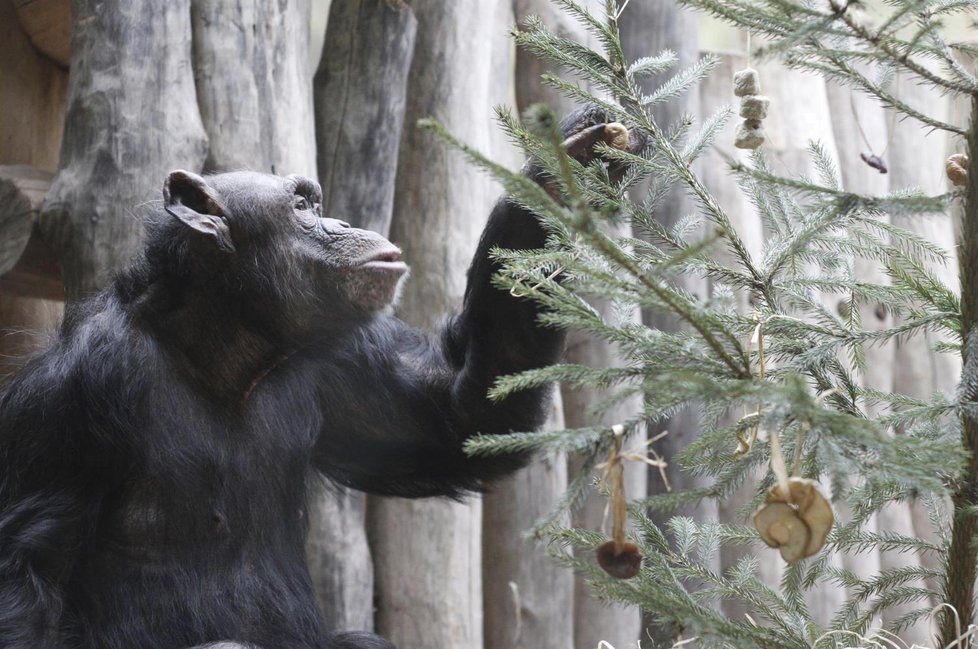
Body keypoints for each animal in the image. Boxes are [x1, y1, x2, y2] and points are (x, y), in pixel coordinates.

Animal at [0, 107, 636, 648]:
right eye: (303, 207)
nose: (342, 218)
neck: (224, 354)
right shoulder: (73, 393)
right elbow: (27, 577)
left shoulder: (339, 361)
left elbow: (458, 418)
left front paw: (560, 174)